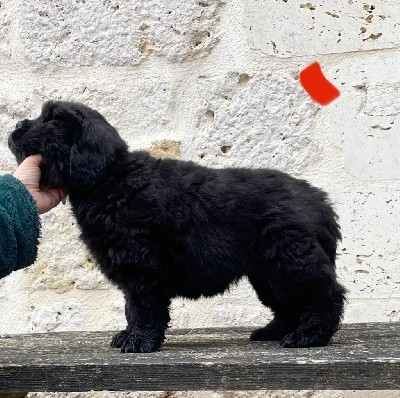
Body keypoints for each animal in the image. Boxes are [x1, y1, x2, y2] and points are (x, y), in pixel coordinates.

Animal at [10, 101, 346, 352]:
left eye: (53, 120)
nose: (14, 127)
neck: (109, 179)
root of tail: (320, 201)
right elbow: (130, 307)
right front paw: (128, 334)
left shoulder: (142, 266)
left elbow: (143, 307)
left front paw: (139, 341)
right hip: (267, 272)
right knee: (288, 304)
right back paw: (272, 331)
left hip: (290, 260)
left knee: (326, 295)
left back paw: (308, 336)